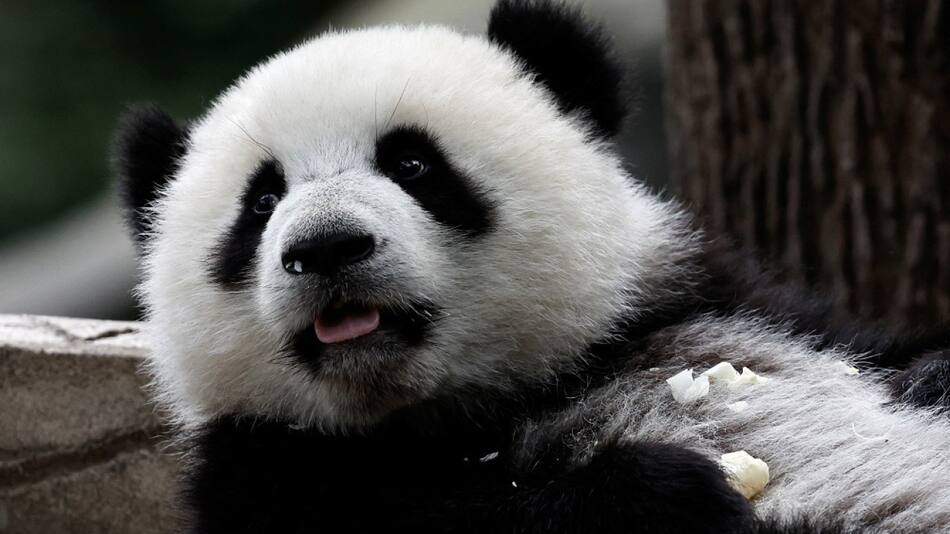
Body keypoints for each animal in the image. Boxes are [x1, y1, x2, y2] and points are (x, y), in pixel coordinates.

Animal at [112, 1, 950, 532]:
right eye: (261, 202)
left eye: (412, 163)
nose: (325, 247)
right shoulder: (265, 466)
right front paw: (661, 496)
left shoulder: (713, 295)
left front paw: (930, 375)